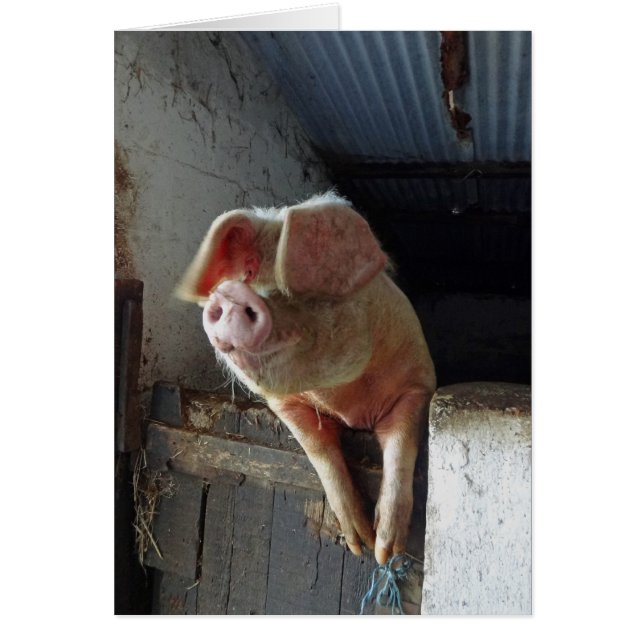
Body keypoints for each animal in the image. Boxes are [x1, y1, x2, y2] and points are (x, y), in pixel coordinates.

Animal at [175, 191, 436, 564]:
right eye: (249, 270)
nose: (229, 295)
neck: (344, 399)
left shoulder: (419, 382)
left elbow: (401, 442)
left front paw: (383, 551)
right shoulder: (284, 405)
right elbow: (318, 450)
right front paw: (358, 542)